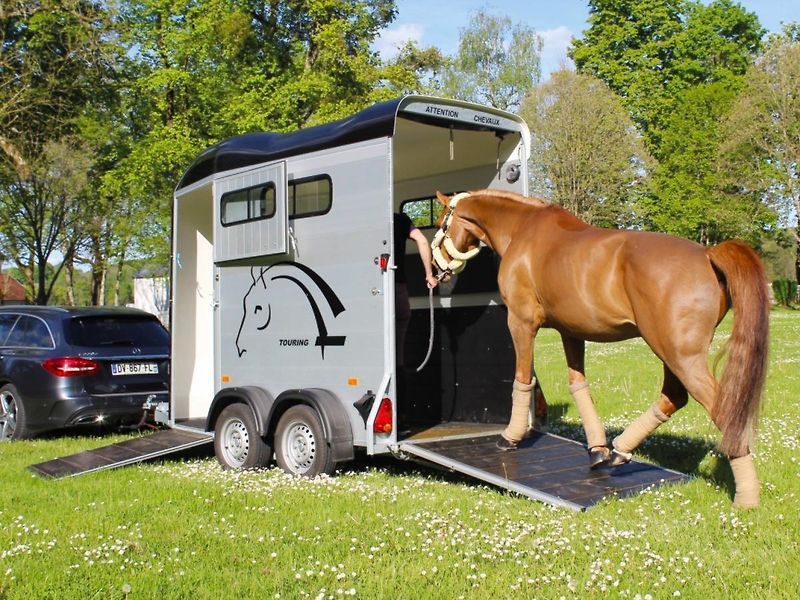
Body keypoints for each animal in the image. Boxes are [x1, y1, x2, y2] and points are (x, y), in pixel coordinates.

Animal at [430, 189, 769, 508]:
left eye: (441, 222)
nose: (435, 269)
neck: (523, 230)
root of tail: (707, 253)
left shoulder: (521, 323)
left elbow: (522, 379)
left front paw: (510, 437)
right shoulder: (571, 332)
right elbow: (578, 385)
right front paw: (597, 449)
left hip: (679, 356)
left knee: (722, 410)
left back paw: (747, 498)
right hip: (673, 354)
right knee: (674, 397)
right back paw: (619, 451)